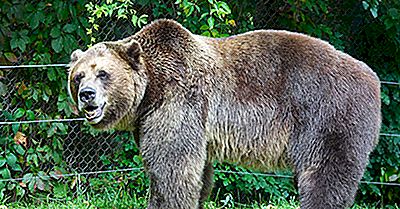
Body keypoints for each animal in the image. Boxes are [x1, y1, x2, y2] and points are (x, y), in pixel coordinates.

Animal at [68, 18, 382, 208]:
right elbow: (198, 175)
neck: (150, 90)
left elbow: (171, 169)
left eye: (103, 73)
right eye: (78, 76)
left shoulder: (179, 102)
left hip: (328, 115)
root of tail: (373, 79)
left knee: (326, 176)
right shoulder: (166, 121)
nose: (87, 95)